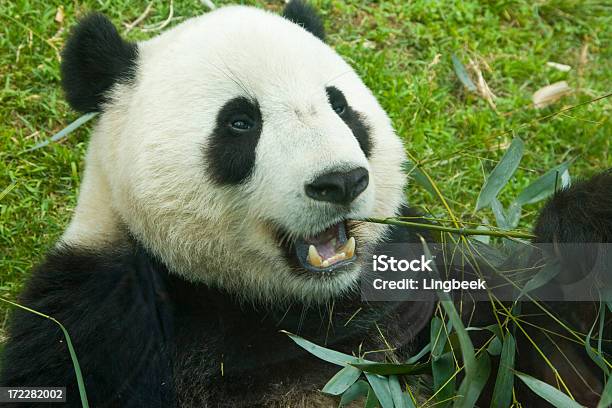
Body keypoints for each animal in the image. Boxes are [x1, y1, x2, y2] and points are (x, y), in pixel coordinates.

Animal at [0, 1, 608, 406]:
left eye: (339, 106)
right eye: (240, 122)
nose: (339, 181)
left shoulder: (427, 281)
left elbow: (550, 361)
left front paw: (583, 220)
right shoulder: (100, 313)